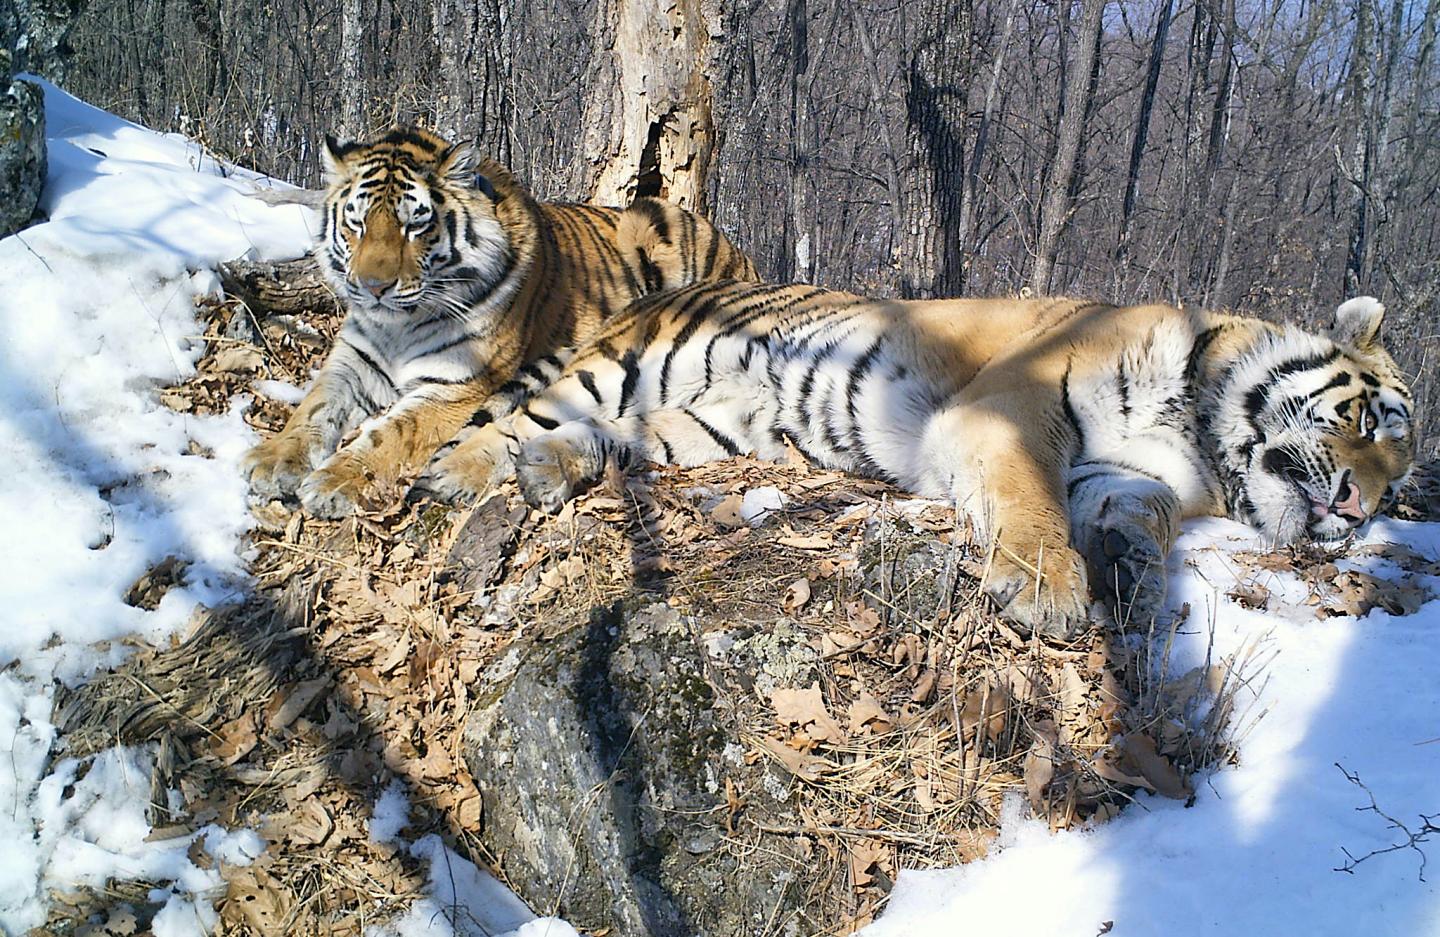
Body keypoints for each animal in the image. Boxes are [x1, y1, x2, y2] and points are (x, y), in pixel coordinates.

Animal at [242, 126, 756, 517]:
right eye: (357, 223)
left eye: (415, 225)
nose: (372, 287)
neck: (398, 325)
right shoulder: (353, 361)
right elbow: (312, 408)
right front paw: (271, 461)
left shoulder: (455, 386)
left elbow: (391, 434)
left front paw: (333, 481)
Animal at [415, 282, 1415, 640]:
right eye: (1370, 421)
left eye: (1401, 480)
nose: (1360, 509)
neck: (1200, 430)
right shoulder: (1012, 409)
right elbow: (1031, 501)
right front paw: (1049, 590)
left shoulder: (1130, 473)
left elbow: (1141, 514)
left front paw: (1130, 572)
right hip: (627, 363)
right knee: (509, 418)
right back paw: (458, 475)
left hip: (704, 426)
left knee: (602, 436)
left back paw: (551, 469)